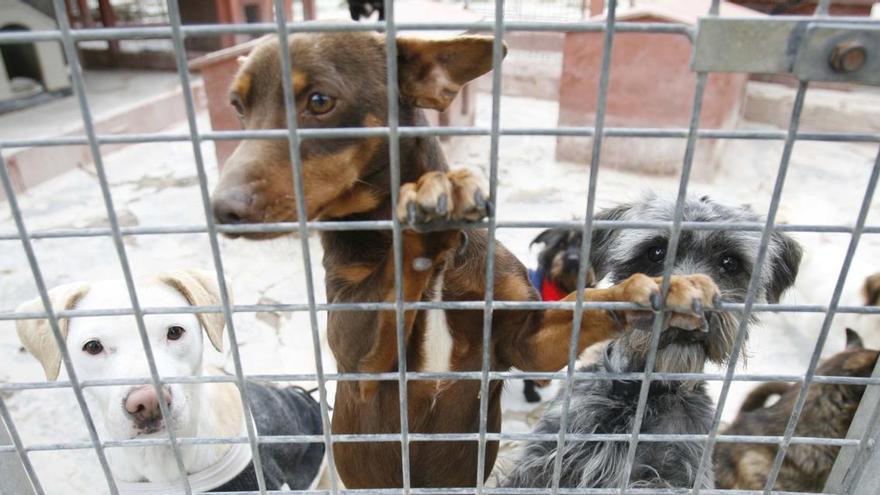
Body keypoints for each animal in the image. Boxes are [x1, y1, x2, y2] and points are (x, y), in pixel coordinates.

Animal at [213, 32, 720, 492]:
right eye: (237, 106)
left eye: (320, 101)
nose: (220, 208)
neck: (438, 269)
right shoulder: (359, 359)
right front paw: (429, 204)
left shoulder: (527, 344)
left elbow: (591, 301)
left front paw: (659, 289)